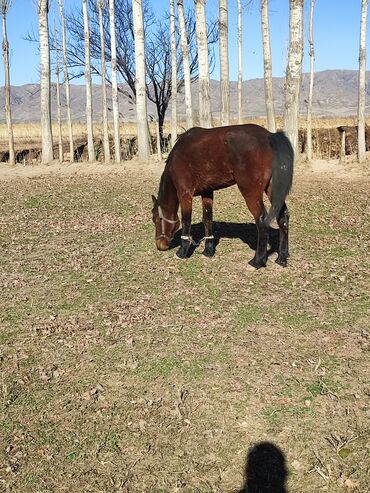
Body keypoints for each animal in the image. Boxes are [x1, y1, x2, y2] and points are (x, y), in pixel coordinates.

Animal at [152, 123, 294, 270]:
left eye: (155, 219)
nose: (160, 245)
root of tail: (269, 136)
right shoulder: (207, 192)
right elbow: (207, 219)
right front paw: (208, 250)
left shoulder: (185, 194)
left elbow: (186, 221)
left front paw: (182, 252)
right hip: (272, 190)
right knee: (283, 216)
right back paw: (281, 258)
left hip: (250, 193)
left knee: (261, 219)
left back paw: (257, 261)